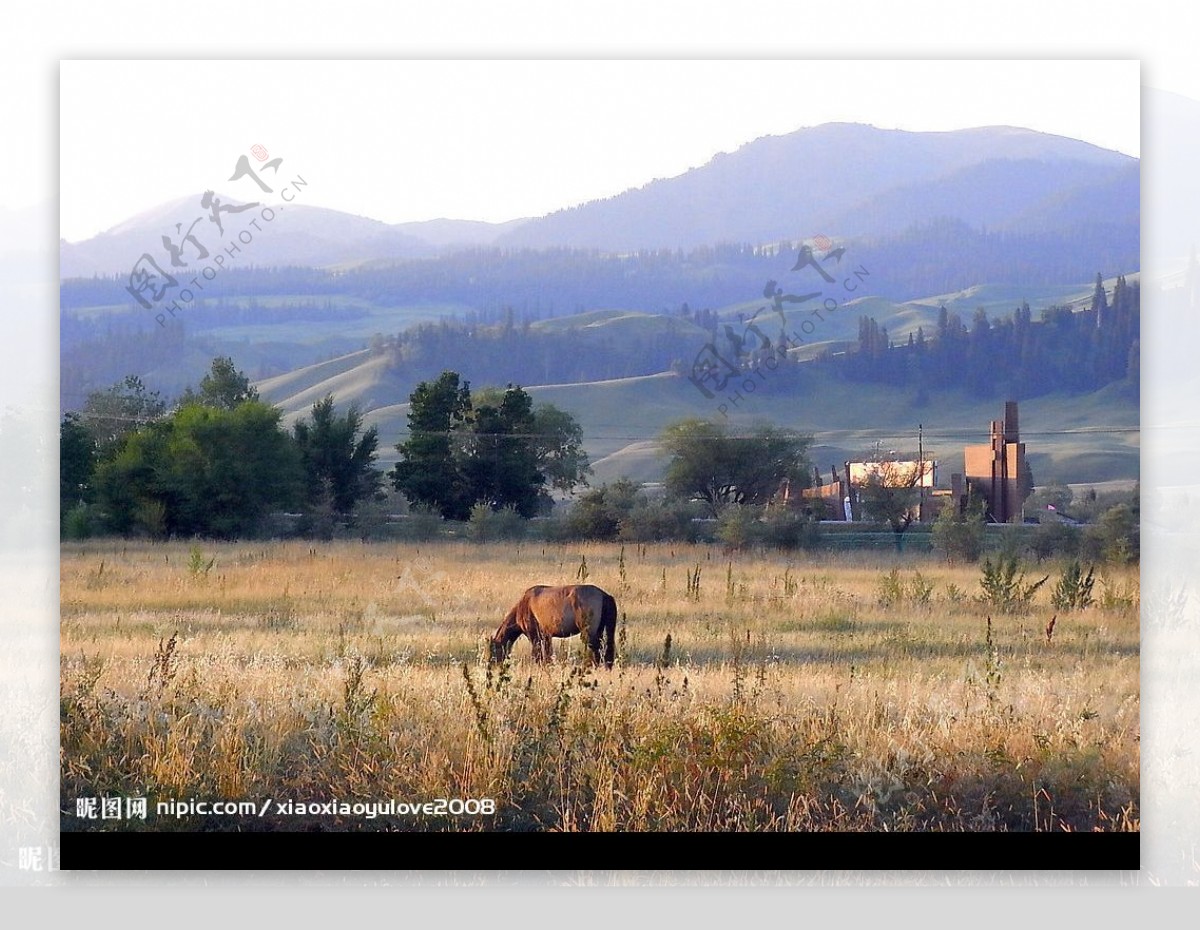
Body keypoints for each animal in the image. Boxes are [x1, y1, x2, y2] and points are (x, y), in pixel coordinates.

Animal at [489, 580, 619, 667]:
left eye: (493, 649)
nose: (491, 665)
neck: (523, 606)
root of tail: (604, 595)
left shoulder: (535, 636)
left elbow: (537, 654)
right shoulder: (546, 636)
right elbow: (547, 654)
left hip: (589, 633)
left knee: (597, 650)